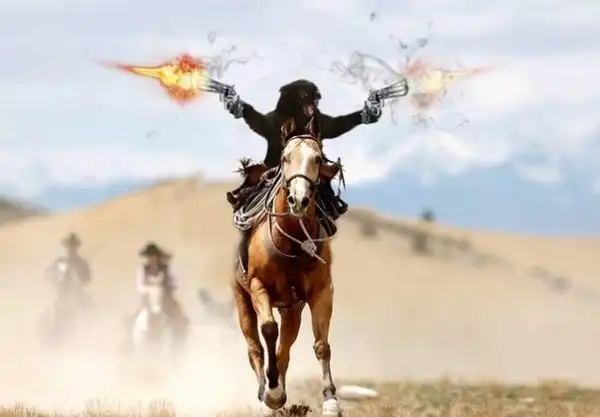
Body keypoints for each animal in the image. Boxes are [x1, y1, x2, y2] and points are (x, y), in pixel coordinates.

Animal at [232, 134, 343, 417]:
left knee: (285, 349)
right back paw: (266, 392)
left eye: (317, 159)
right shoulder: (258, 287)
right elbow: (268, 330)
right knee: (255, 347)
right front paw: (271, 393)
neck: (291, 241)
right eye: (285, 158)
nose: (299, 200)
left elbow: (321, 345)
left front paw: (331, 401)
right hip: (242, 300)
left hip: (292, 310)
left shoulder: (321, 293)